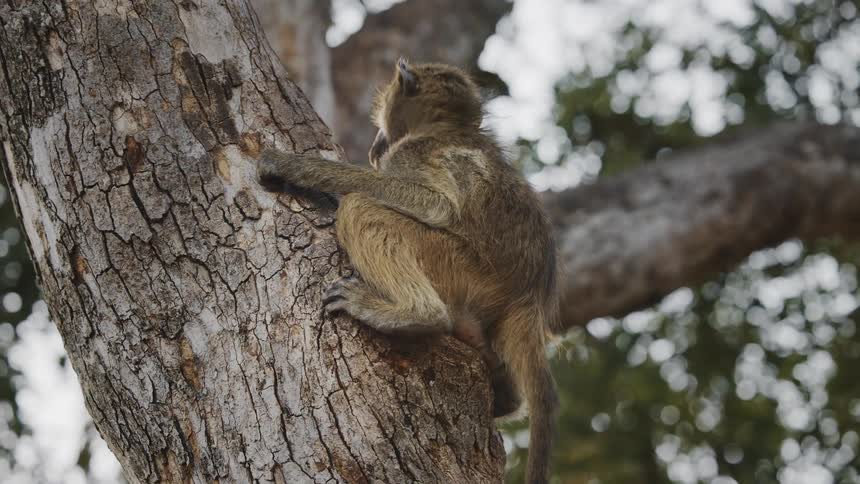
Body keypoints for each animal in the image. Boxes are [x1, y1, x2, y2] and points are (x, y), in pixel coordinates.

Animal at [257, 58, 559, 484]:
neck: (449, 127)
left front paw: (291, 165)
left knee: (360, 207)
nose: (374, 146)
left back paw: (415, 315)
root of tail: (529, 296)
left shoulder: (412, 152)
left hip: (457, 265)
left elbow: (436, 205)